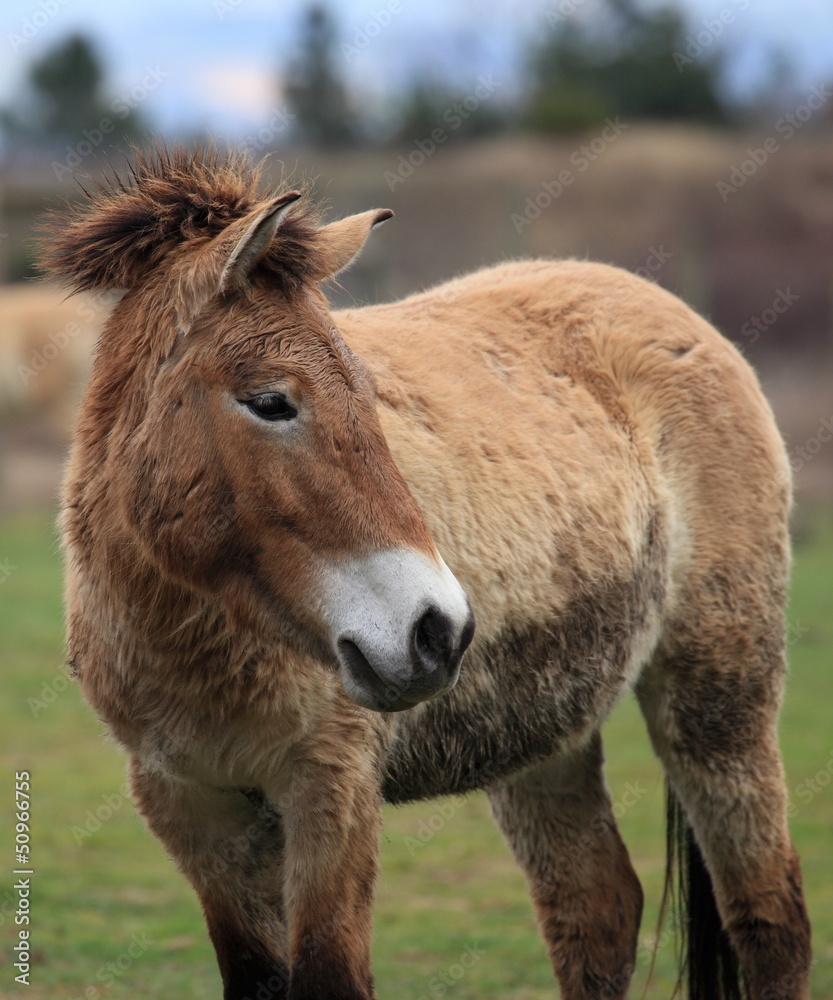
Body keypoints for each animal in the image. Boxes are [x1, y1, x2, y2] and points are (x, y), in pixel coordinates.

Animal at [42, 148, 808, 1000]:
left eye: (367, 393)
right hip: (544, 731)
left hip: (717, 700)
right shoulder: (193, 810)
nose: (439, 631)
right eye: (270, 401)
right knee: (596, 906)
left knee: (768, 919)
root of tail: (666, 310)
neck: (203, 635)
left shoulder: (330, 792)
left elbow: (330, 976)